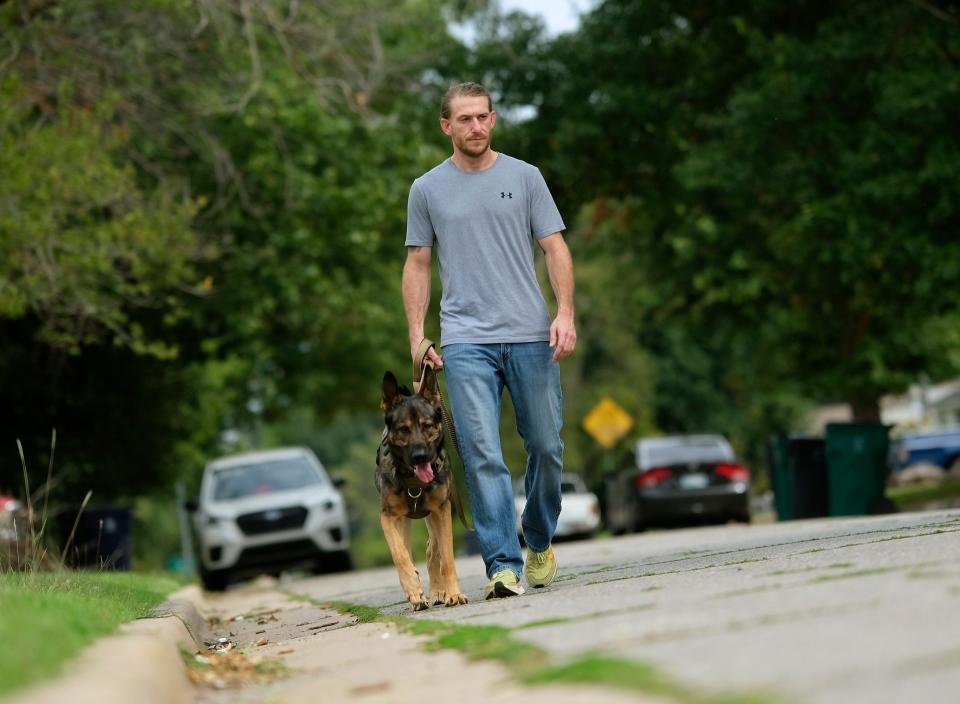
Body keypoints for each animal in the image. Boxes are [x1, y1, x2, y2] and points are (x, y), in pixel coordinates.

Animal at [376, 366, 466, 608]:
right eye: (403, 429)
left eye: (427, 426)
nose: (420, 456)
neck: (413, 481)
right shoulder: (388, 516)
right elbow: (400, 555)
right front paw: (414, 589)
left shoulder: (442, 511)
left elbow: (447, 558)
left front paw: (454, 594)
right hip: (403, 521)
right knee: (407, 550)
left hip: (434, 517)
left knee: (432, 551)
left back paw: (439, 591)